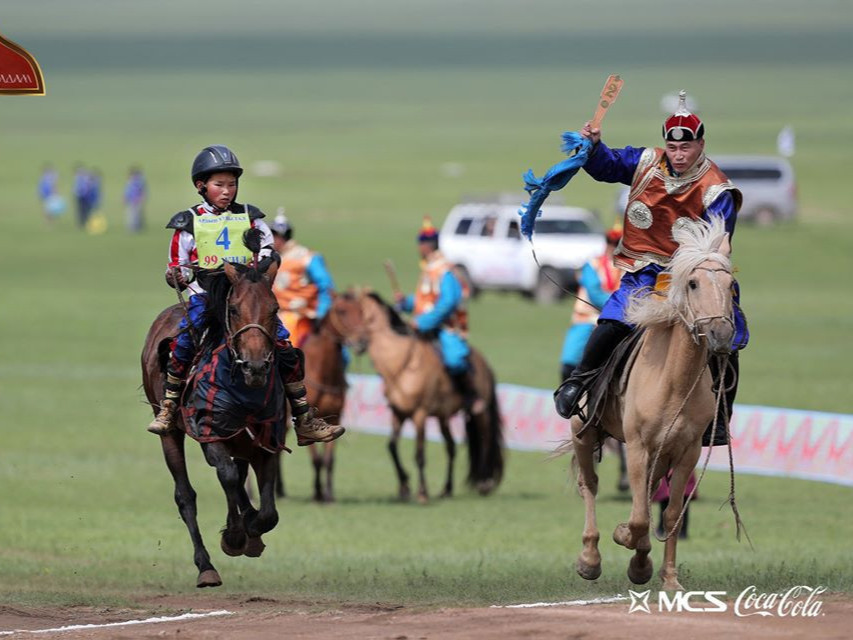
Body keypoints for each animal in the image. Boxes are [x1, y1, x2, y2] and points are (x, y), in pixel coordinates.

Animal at [141, 258, 282, 588]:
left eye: (274, 309)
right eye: (234, 309)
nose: (256, 365)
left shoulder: (266, 441)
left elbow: (268, 512)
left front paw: (251, 530)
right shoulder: (210, 436)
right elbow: (227, 476)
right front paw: (234, 536)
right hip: (171, 433)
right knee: (186, 495)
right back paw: (206, 567)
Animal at [336, 292, 502, 504]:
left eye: (359, 313)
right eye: (342, 313)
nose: (357, 343)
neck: (402, 364)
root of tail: (484, 363)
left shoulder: (420, 414)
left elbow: (419, 455)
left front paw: (422, 492)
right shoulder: (398, 413)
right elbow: (392, 446)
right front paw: (404, 487)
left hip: (480, 413)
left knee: (486, 441)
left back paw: (484, 483)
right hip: (443, 417)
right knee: (451, 447)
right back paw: (446, 489)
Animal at [568, 218, 736, 592]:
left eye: (731, 285)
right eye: (692, 283)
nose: (720, 335)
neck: (673, 382)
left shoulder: (686, 451)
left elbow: (668, 514)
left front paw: (666, 577)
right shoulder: (638, 447)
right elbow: (640, 517)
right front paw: (624, 539)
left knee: (645, 495)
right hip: (583, 432)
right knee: (590, 485)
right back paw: (589, 559)